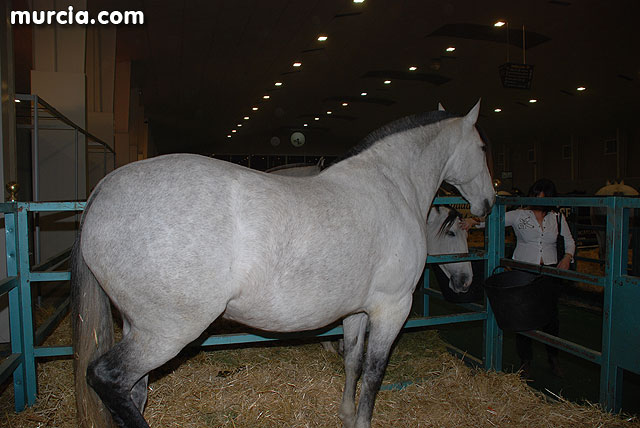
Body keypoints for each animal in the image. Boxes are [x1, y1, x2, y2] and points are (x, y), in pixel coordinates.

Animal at [72, 101, 492, 428]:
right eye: (482, 146)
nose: (488, 202)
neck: (391, 185)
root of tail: (103, 190)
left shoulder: (358, 311)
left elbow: (352, 362)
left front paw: (345, 415)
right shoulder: (392, 308)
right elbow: (374, 374)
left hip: (137, 326)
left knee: (134, 392)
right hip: (166, 332)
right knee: (108, 378)